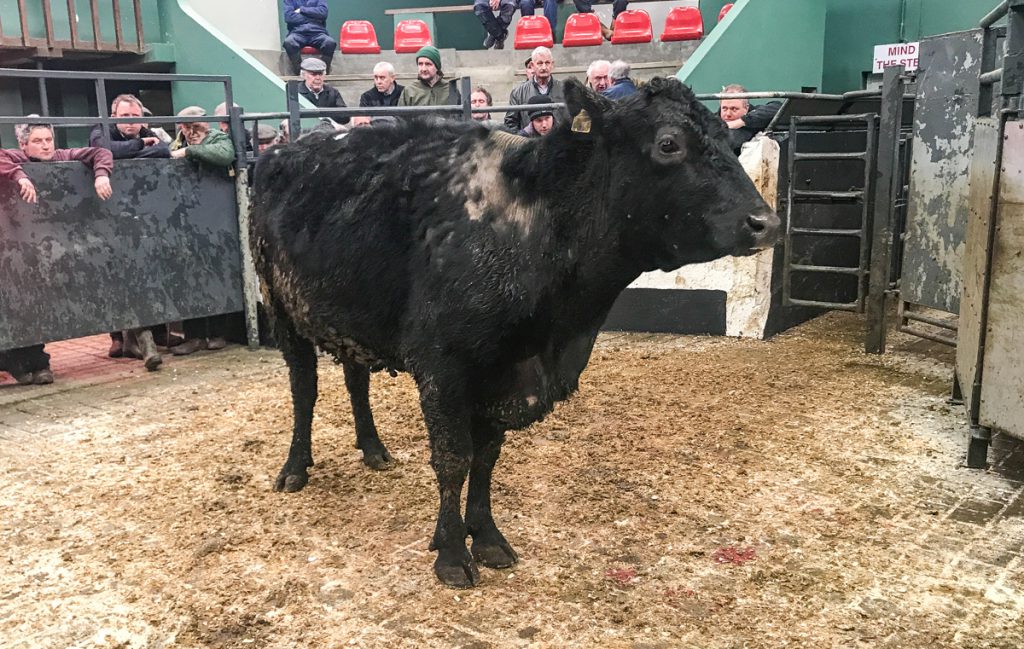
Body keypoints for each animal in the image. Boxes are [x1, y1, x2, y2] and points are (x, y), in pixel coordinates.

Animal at [249, 77, 779, 589]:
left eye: (730, 140)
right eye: (669, 143)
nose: (765, 222)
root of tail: (287, 147)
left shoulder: (505, 370)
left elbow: (486, 458)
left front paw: (485, 537)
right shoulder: (443, 366)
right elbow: (453, 458)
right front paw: (451, 553)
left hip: (351, 317)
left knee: (355, 379)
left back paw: (374, 449)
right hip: (280, 307)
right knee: (304, 389)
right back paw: (294, 468)